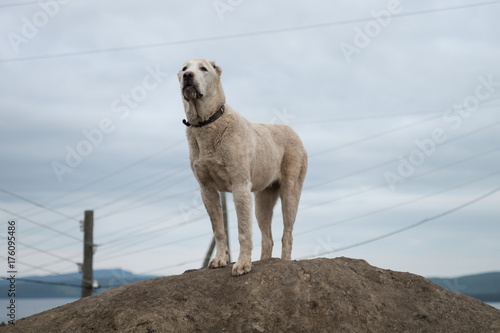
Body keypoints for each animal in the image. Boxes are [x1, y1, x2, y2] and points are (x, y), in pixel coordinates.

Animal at [178, 59, 306, 274]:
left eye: (203, 68)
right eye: (184, 69)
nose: (188, 76)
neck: (207, 123)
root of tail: (293, 131)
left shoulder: (240, 186)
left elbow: (243, 231)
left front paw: (243, 264)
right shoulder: (207, 189)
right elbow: (219, 229)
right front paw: (220, 259)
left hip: (290, 192)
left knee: (287, 234)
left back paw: (285, 262)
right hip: (262, 200)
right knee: (268, 238)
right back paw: (265, 261)